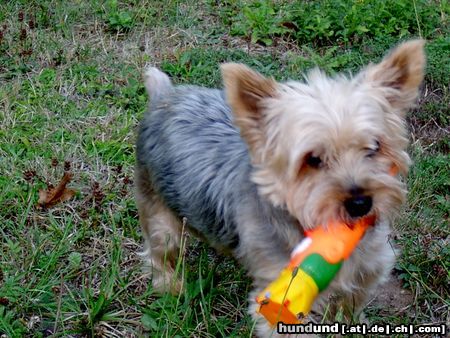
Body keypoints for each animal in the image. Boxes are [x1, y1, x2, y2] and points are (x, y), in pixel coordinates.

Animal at [134, 39, 426, 336]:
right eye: (312, 159)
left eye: (375, 147)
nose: (360, 203)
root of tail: (164, 96)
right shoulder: (282, 293)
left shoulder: (368, 270)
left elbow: (350, 307)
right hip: (156, 205)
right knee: (160, 250)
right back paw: (171, 286)